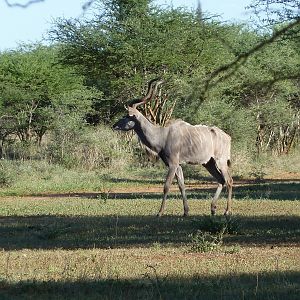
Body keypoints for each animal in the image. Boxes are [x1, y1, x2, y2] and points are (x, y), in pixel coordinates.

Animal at [113, 78, 233, 217]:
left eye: (127, 115)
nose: (114, 125)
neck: (162, 135)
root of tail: (227, 136)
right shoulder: (177, 165)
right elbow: (181, 185)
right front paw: (186, 212)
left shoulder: (173, 164)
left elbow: (166, 186)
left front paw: (160, 212)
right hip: (209, 163)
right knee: (221, 180)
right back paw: (213, 208)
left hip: (221, 162)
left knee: (229, 180)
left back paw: (227, 211)